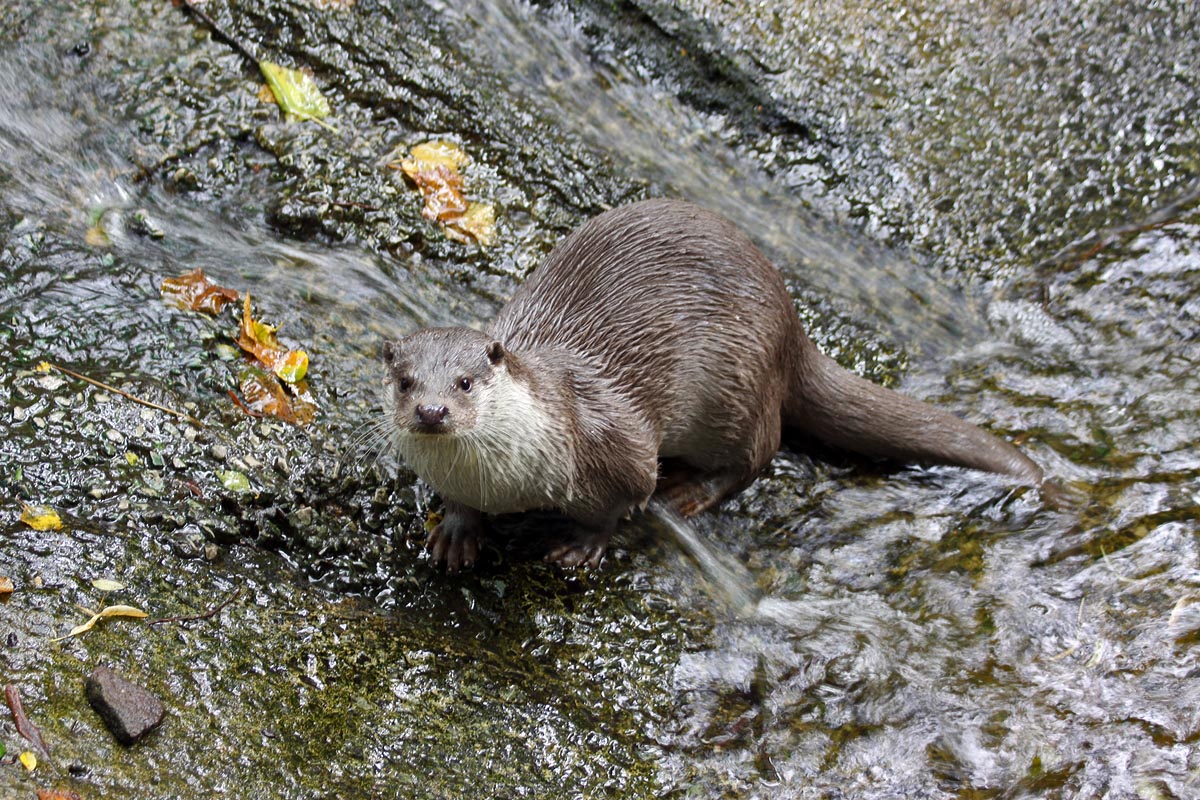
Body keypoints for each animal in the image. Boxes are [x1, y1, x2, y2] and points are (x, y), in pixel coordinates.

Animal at [384, 200, 1041, 575]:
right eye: (405, 381)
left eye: (466, 382)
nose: (433, 411)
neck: (508, 480)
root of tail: (789, 321)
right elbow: (459, 506)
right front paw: (457, 531)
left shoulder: (614, 443)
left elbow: (623, 499)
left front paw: (583, 543)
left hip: (733, 386)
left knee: (760, 450)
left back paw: (691, 492)